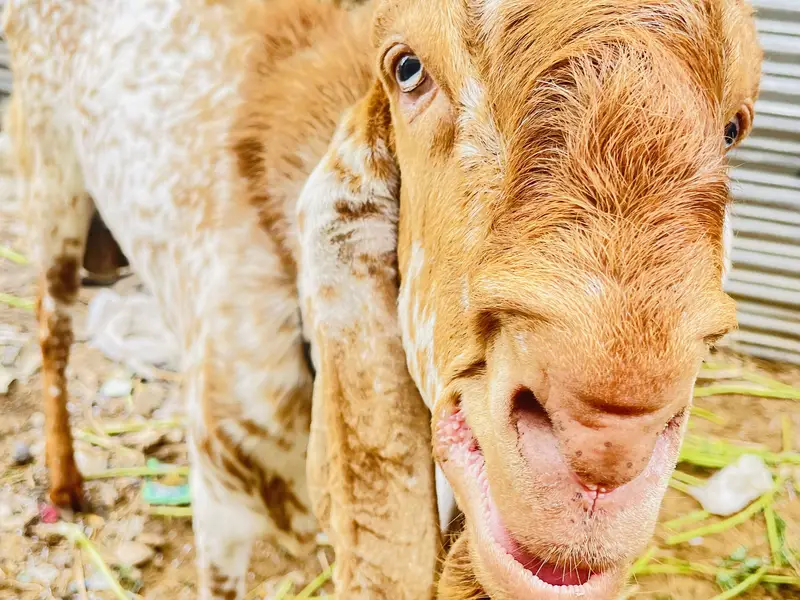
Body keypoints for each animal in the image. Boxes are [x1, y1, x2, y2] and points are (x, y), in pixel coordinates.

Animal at [4, 0, 761, 598]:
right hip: (48, 169)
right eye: (407, 68)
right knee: (51, 327)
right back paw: (66, 485)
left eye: (734, 126)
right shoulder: (219, 495)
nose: (607, 444)